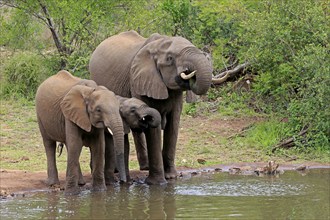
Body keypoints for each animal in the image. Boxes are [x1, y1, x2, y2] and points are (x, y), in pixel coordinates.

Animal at [89, 29, 214, 184]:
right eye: (170, 58)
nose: (189, 73)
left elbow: (173, 123)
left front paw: (171, 177)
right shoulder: (140, 81)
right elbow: (153, 124)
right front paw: (157, 182)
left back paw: (145, 167)